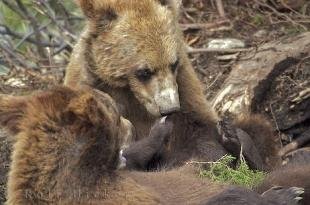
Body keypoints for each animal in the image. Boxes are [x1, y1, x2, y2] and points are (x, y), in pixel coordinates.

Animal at [0, 85, 304, 204]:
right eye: (113, 109)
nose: (127, 119)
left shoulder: (132, 173)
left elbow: (139, 159)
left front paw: (161, 127)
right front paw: (283, 194)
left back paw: (235, 139)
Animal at [65, 0, 280, 171]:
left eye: (173, 63)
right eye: (144, 71)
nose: (169, 108)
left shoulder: (185, 86)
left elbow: (200, 127)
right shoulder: (89, 82)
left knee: (257, 128)